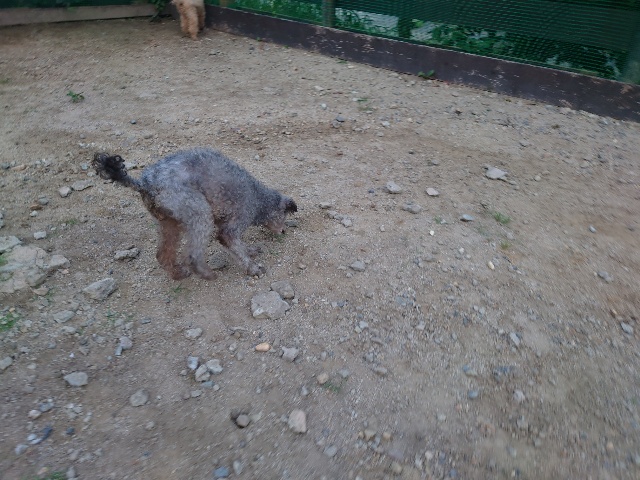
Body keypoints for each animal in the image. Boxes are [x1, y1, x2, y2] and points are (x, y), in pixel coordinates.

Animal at [93, 147, 297, 280]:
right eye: (284, 216)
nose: (283, 232)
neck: (258, 198)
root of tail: (144, 184)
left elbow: (239, 246)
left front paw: (250, 250)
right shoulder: (235, 221)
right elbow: (232, 242)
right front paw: (253, 268)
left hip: (169, 222)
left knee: (162, 254)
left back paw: (178, 274)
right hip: (199, 211)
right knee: (192, 255)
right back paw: (206, 274)